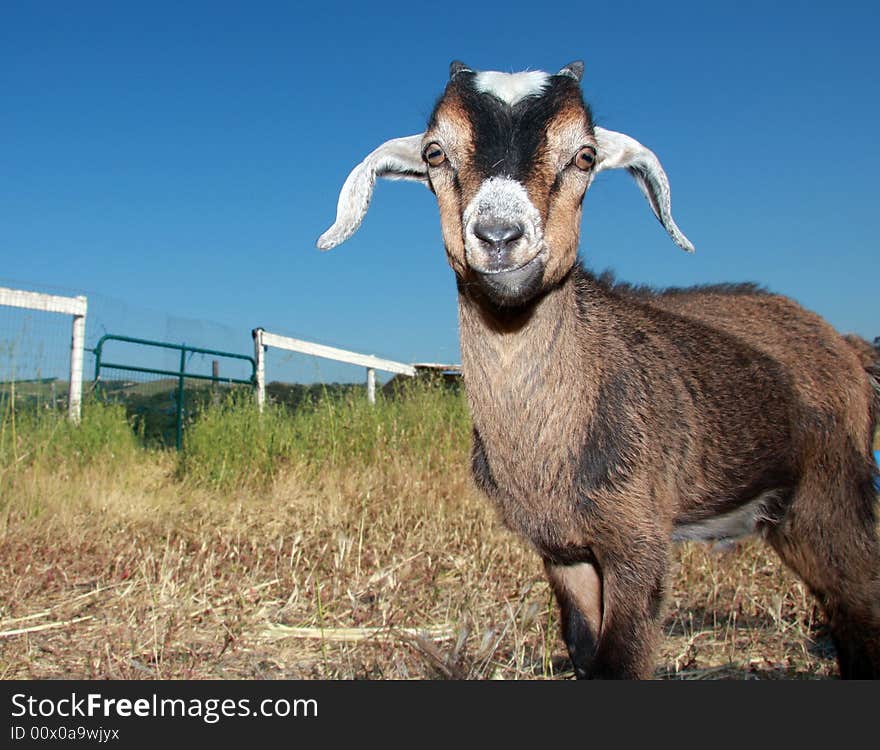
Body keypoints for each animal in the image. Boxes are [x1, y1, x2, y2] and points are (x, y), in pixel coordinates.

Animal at [316, 60, 880, 680]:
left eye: (584, 156)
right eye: (435, 152)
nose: (499, 236)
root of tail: (846, 346)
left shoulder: (639, 537)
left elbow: (621, 657)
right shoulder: (562, 550)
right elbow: (584, 647)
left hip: (832, 493)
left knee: (861, 599)